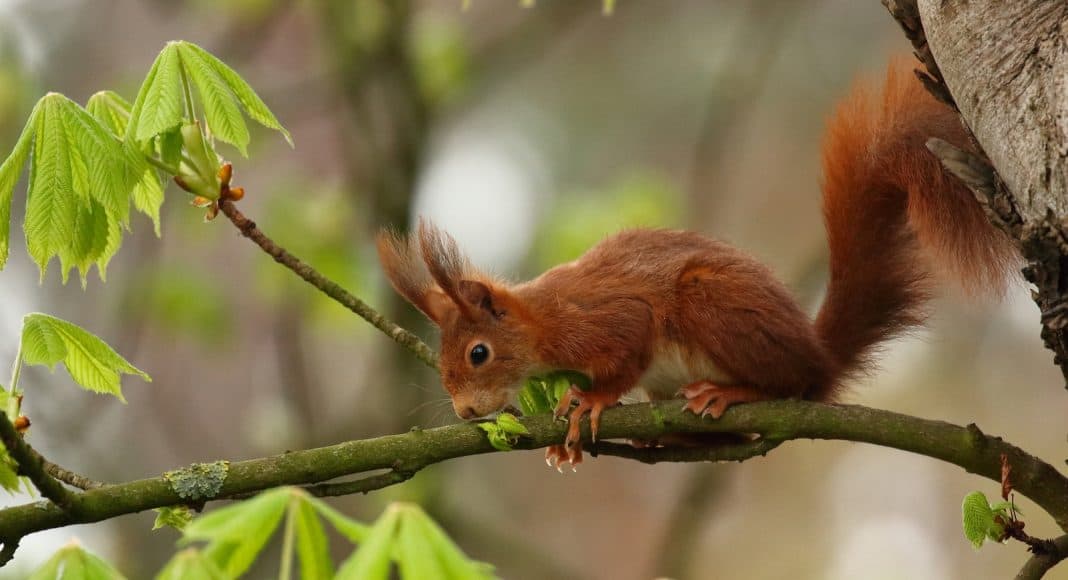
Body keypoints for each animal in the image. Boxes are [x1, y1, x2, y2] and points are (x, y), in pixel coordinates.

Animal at [376, 59, 1019, 470]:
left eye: (478, 354)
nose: (464, 412)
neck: (541, 321)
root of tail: (820, 355)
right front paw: (566, 438)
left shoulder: (604, 318)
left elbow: (627, 347)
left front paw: (593, 401)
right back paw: (661, 443)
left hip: (710, 303)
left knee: (791, 384)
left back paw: (732, 394)